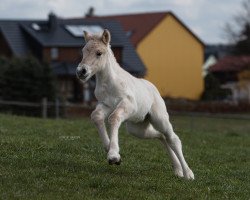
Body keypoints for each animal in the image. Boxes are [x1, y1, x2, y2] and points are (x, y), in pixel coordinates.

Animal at [77, 29, 194, 180]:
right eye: (83, 51)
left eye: (99, 53)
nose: (81, 71)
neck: (110, 83)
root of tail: (153, 88)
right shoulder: (106, 105)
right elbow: (96, 116)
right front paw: (112, 152)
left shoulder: (128, 104)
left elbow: (114, 118)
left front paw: (113, 155)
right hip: (137, 129)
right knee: (161, 136)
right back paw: (177, 169)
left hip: (159, 119)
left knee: (173, 139)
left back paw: (188, 173)